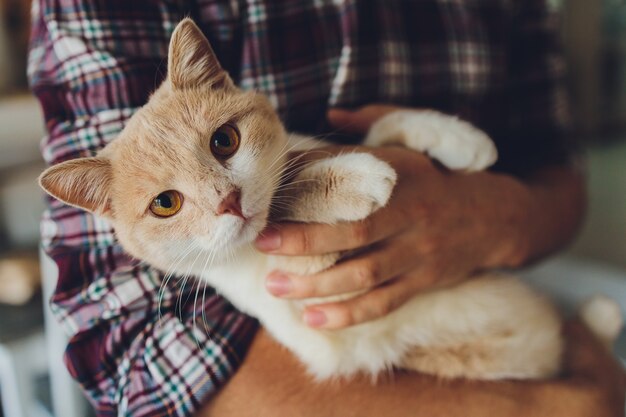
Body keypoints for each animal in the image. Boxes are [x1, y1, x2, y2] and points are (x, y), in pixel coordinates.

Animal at [40, 21, 620, 382]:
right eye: (166, 204)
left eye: (224, 141)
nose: (228, 201)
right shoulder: (310, 303)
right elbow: (285, 201)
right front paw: (356, 180)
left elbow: (382, 128)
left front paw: (457, 138)